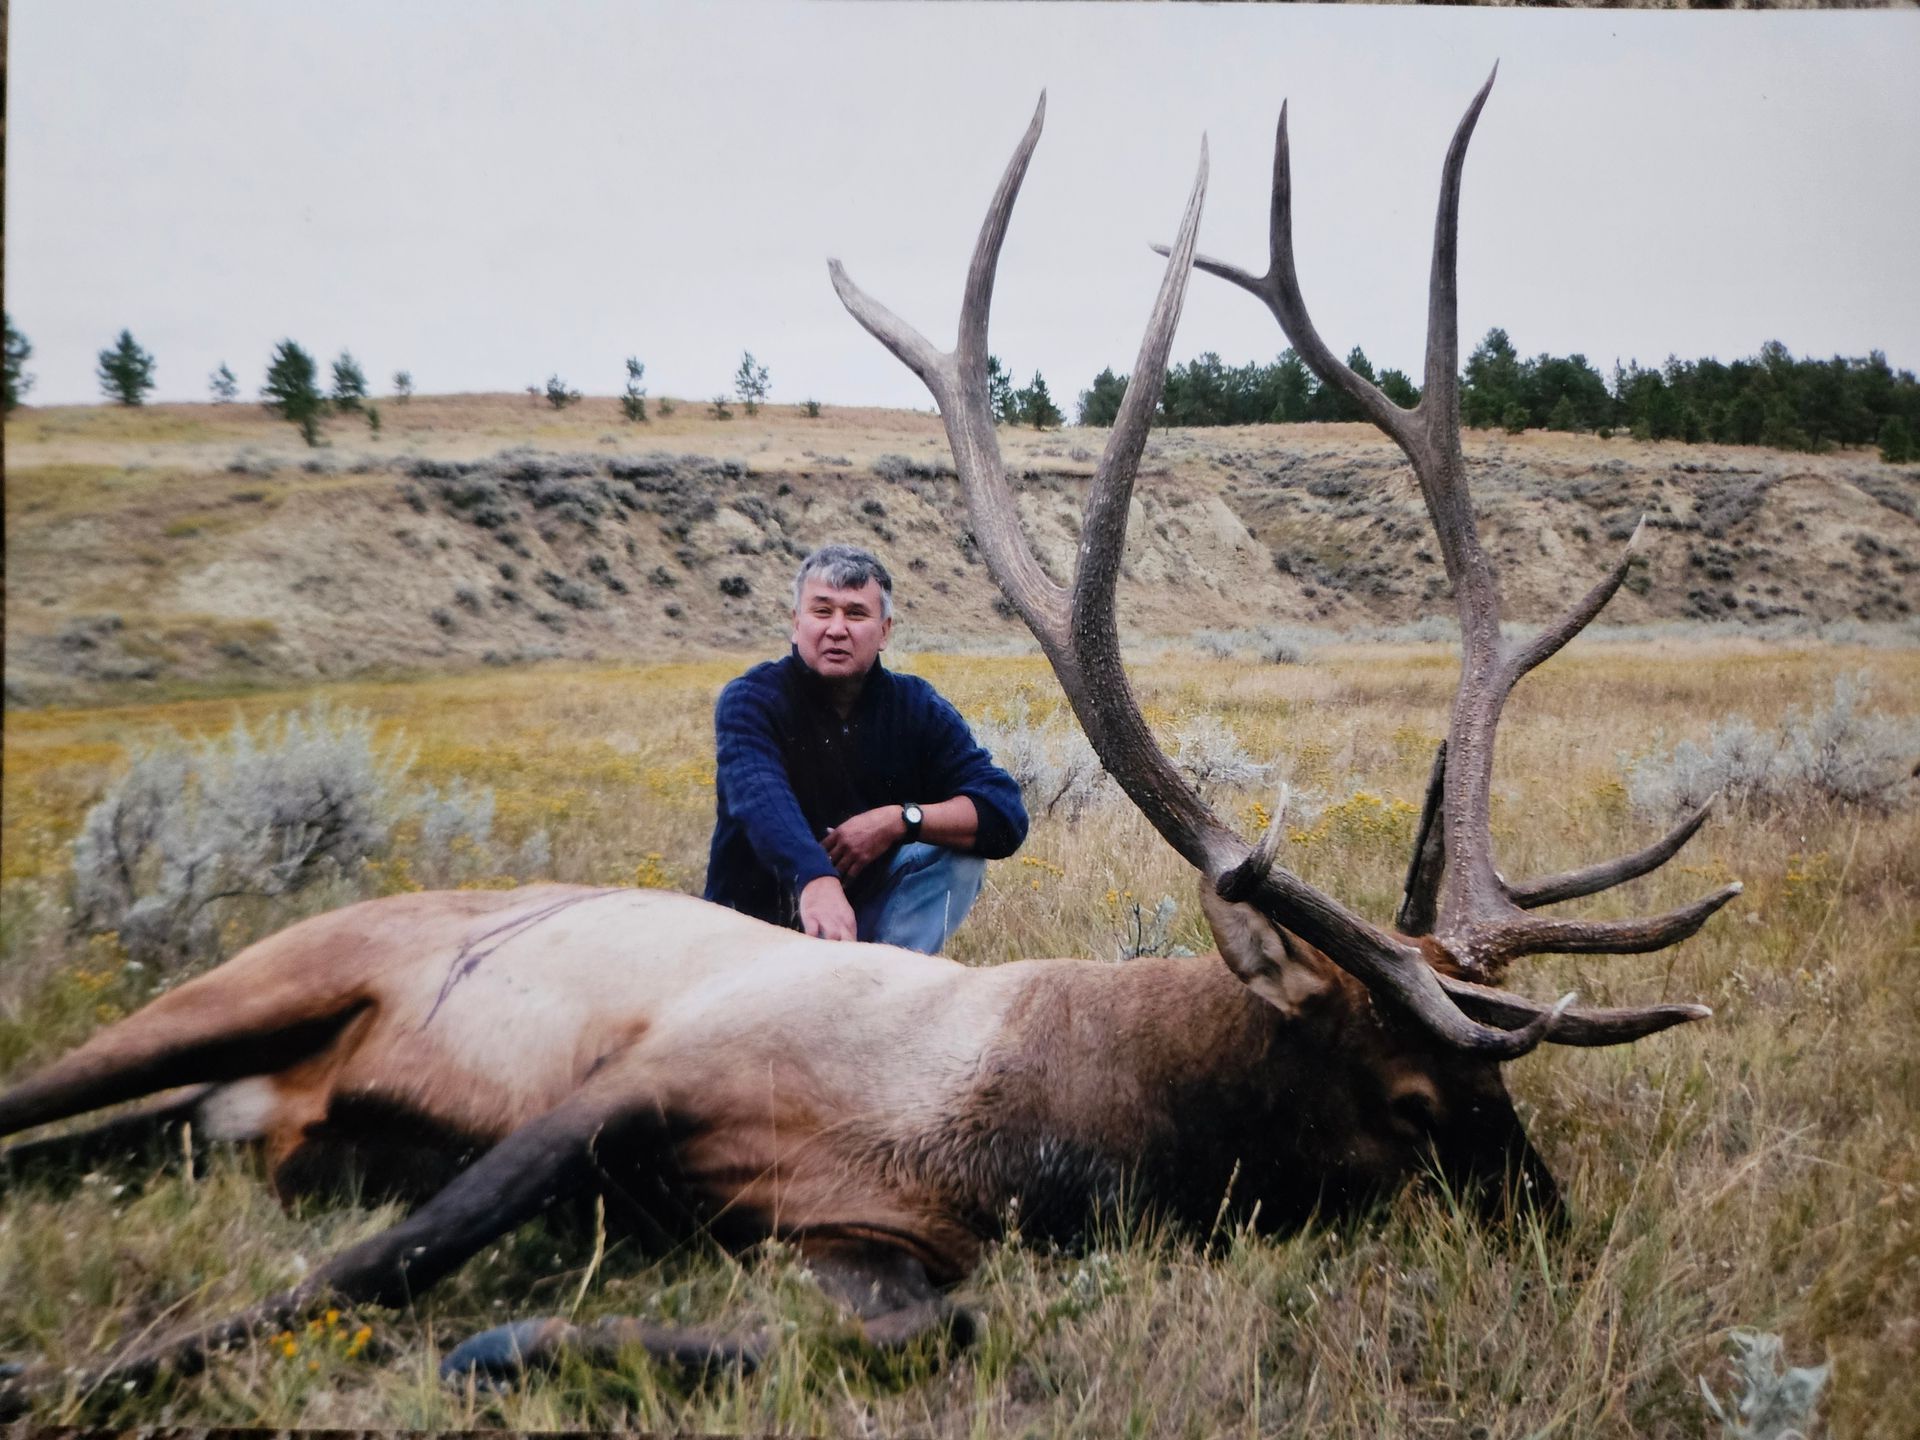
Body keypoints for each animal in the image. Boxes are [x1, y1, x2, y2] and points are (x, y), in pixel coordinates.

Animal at [0, 72, 1738, 1412]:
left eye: (1509, 1097)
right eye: (1417, 1101)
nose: (1559, 1231)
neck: (1018, 1133)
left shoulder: (855, 1231)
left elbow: (914, 1336)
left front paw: (511, 1346)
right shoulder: (633, 1083)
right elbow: (380, 1262)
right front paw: (80, 1379)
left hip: (232, 1101)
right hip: (257, 984)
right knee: (47, 1098)